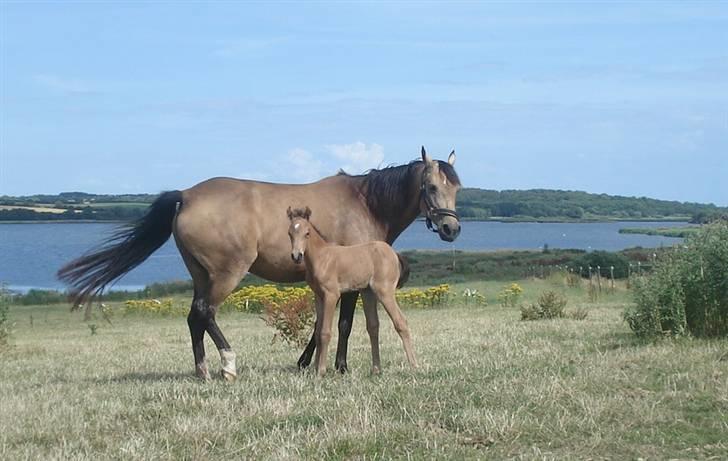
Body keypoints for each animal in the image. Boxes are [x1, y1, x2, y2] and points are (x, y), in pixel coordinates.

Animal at [288, 207, 418, 376]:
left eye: (307, 233)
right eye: (290, 233)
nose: (297, 256)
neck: (322, 257)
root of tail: (394, 254)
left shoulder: (332, 295)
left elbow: (325, 332)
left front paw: (321, 371)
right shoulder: (319, 296)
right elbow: (318, 331)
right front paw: (316, 369)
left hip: (384, 291)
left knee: (401, 322)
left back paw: (414, 366)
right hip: (368, 292)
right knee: (373, 326)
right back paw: (376, 369)